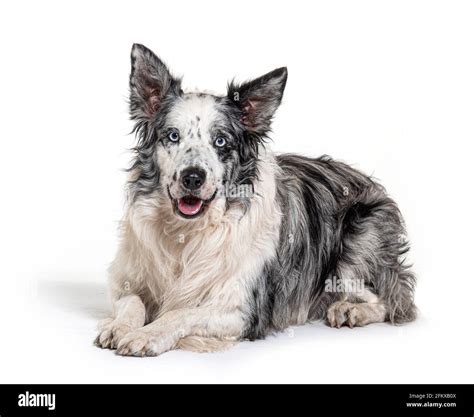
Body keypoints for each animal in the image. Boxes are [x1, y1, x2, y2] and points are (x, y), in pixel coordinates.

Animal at [94, 44, 416, 356]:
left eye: (221, 141)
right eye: (173, 136)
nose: (192, 178)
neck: (188, 233)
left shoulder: (242, 308)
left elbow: (180, 313)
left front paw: (146, 335)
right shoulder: (127, 278)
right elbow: (132, 301)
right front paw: (119, 327)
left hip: (355, 249)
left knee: (396, 301)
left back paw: (351, 310)